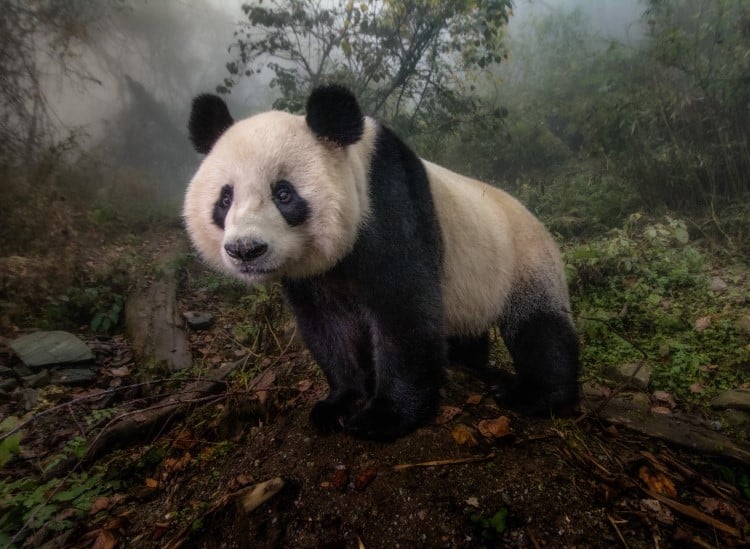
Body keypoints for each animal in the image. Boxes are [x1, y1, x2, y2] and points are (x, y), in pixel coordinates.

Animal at [184, 83, 580, 438]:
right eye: (225, 199)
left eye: (284, 194)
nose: (245, 249)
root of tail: (532, 216)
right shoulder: (309, 272)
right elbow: (327, 325)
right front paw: (338, 403)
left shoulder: (390, 205)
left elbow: (404, 309)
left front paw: (383, 416)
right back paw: (465, 362)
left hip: (524, 259)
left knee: (539, 327)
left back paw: (536, 396)